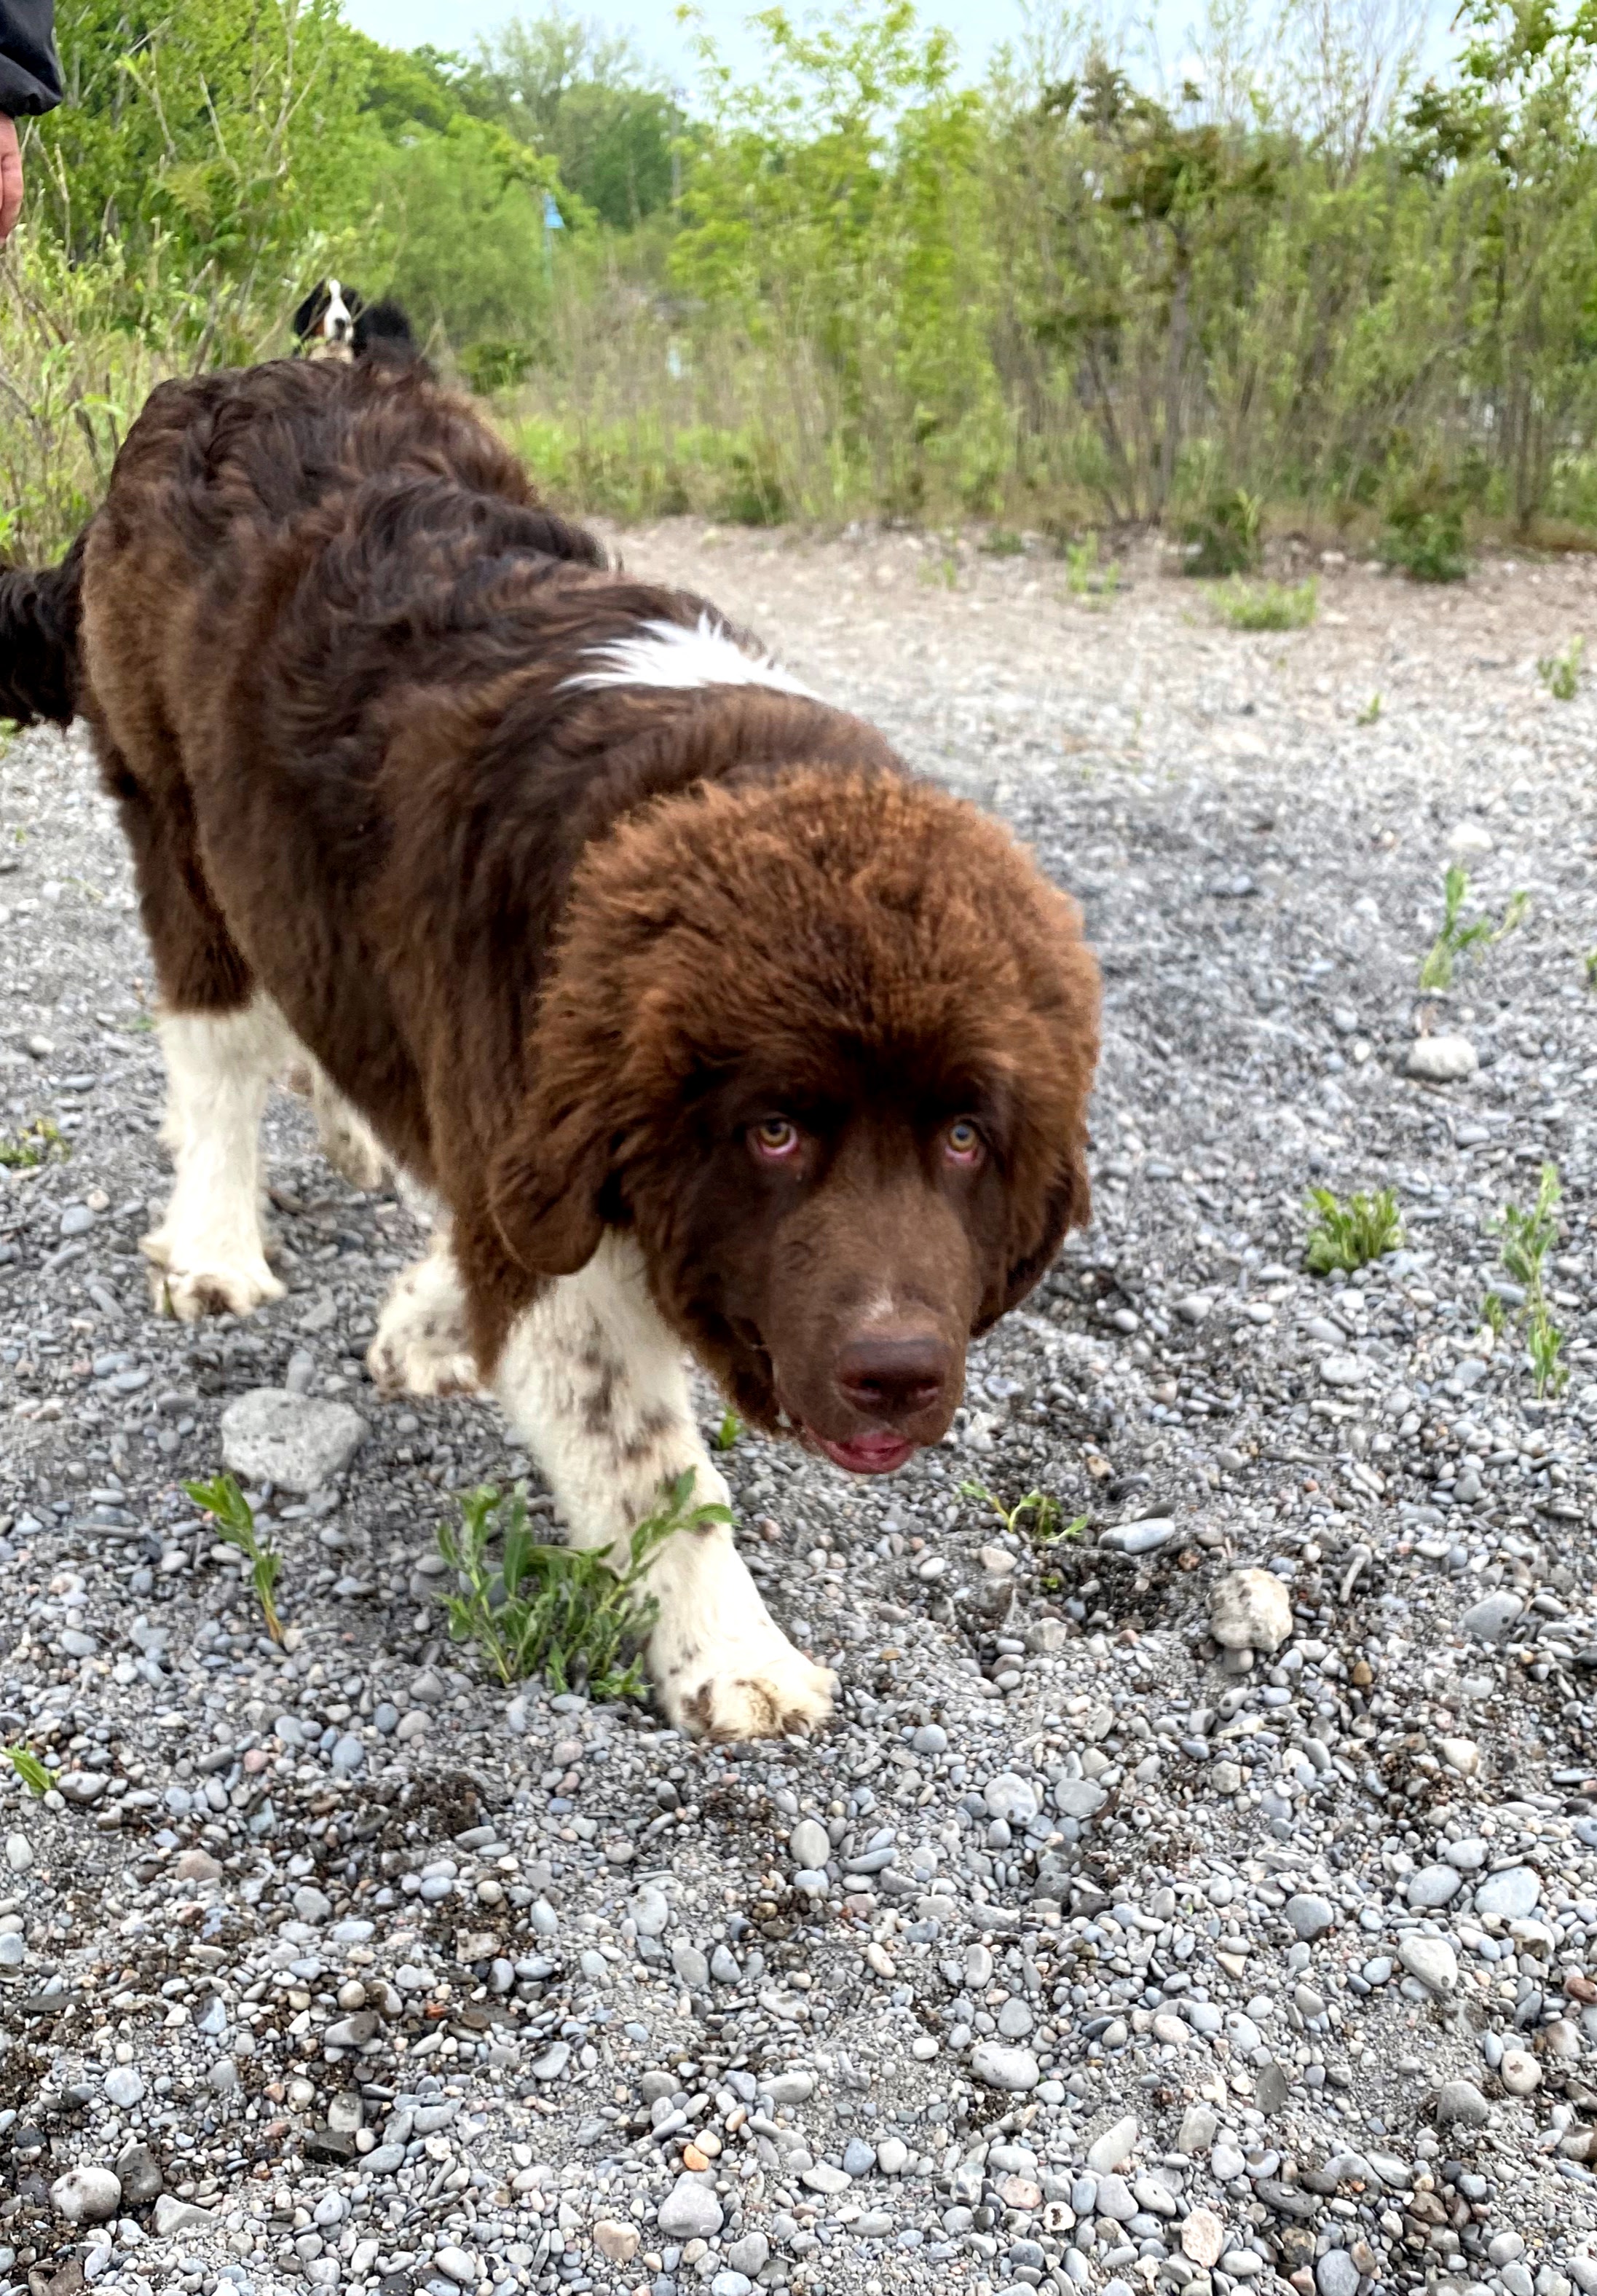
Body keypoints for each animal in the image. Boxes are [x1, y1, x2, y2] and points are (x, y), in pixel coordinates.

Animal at [0, 349, 1097, 1727]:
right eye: (772, 1131)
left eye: (964, 1136)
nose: (896, 1370)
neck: (700, 784)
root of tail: (219, 381)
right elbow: (651, 1459)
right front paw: (734, 1655)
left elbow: (493, 1236)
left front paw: (425, 1319)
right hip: (177, 819)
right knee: (214, 1046)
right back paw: (212, 1244)